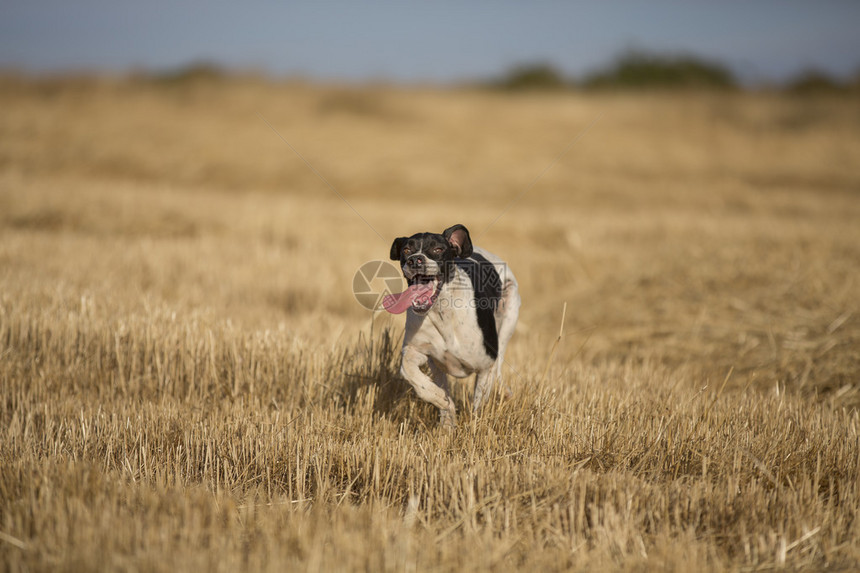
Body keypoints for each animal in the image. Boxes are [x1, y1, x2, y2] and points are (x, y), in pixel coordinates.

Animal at [386, 223, 520, 424]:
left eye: (438, 249)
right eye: (406, 250)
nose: (415, 260)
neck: (442, 311)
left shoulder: (485, 366)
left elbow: (478, 407)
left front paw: (474, 427)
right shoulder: (415, 350)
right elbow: (409, 370)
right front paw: (440, 400)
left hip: (508, 319)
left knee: (498, 366)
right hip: (436, 366)